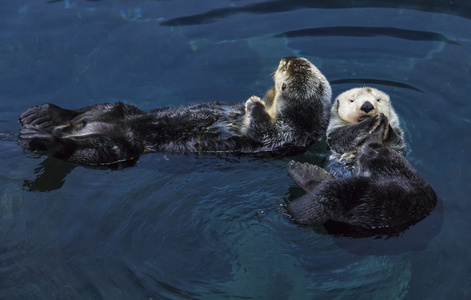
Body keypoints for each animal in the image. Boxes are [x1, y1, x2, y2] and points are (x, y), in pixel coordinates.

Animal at [18, 56, 332, 166]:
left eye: (288, 69)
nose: (285, 58)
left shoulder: (288, 135)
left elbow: (262, 131)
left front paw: (253, 103)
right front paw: (254, 99)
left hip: (120, 149)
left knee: (80, 151)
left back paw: (43, 138)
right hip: (117, 109)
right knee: (88, 110)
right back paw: (43, 114)